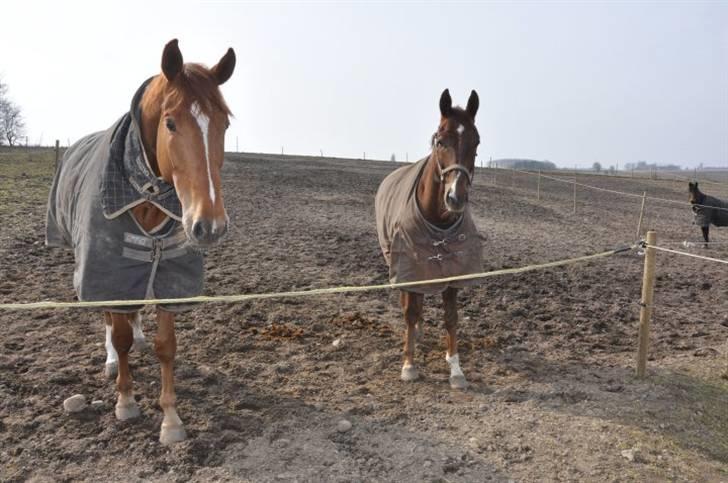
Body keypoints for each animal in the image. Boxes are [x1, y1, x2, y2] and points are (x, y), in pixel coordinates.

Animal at [47, 39, 235, 444]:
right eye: (170, 122)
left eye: (225, 124)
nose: (210, 225)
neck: (147, 195)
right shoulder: (107, 268)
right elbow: (119, 337)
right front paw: (126, 400)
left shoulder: (170, 275)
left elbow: (167, 346)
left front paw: (171, 419)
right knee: (110, 317)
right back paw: (111, 361)